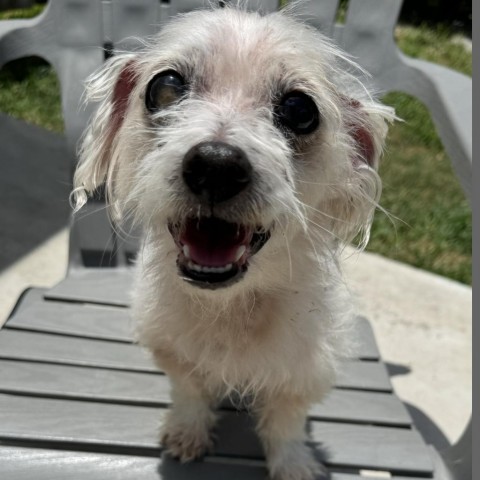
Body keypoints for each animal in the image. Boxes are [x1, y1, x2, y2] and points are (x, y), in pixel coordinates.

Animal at [71, 3, 394, 480]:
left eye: (300, 109)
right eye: (165, 86)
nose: (216, 165)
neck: (231, 308)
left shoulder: (303, 375)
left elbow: (285, 423)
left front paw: (293, 463)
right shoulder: (176, 354)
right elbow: (189, 393)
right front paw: (188, 433)